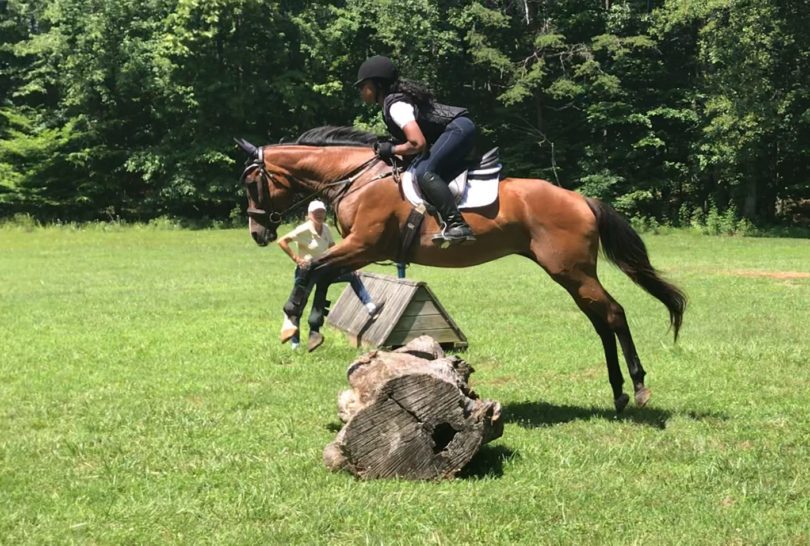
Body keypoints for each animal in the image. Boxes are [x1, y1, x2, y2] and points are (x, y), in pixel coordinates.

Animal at [237, 125, 684, 410]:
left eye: (251, 183)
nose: (257, 232)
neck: (357, 178)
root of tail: (580, 198)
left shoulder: (363, 245)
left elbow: (311, 270)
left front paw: (294, 321)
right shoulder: (359, 251)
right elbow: (321, 273)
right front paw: (312, 326)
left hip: (571, 271)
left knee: (613, 313)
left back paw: (638, 387)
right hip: (570, 274)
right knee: (600, 320)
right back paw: (619, 391)